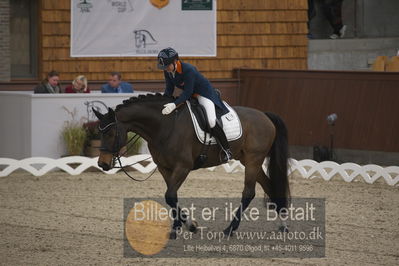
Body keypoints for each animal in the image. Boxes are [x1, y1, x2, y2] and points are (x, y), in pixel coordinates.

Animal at [93, 93, 290, 237]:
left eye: (110, 133)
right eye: (100, 132)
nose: (102, 164)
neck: (165, 125)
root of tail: (265, 115)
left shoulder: (183, 167)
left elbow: (170, 195)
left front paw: (182, 227)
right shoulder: (165, 168)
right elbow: (172, 196)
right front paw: (186, 225)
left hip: (253, 160)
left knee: (248, 192)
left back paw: (230, 229)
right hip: (249, 161)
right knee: (269, 186)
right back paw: (283, 224)